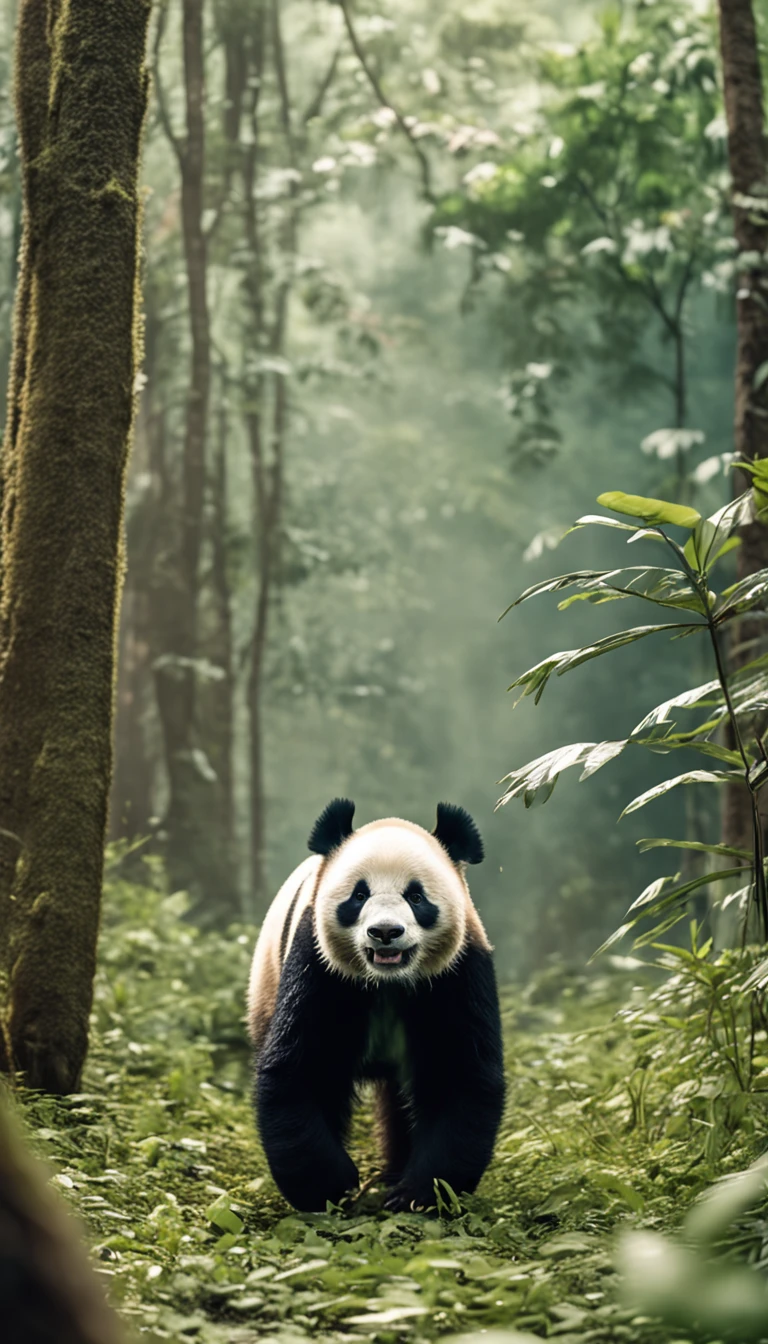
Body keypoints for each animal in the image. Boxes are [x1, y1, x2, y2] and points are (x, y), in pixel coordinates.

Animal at [246, 798, 506, 1214]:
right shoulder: (319, 969)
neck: (387, 982)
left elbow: (460, 1072)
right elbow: (301, 1069)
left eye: (416, 897)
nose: (385, 932)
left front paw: (417, 1194)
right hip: (265, 988)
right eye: (359, 896)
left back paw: (394, 1173)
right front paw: (330, 1187)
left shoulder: (457, 972)